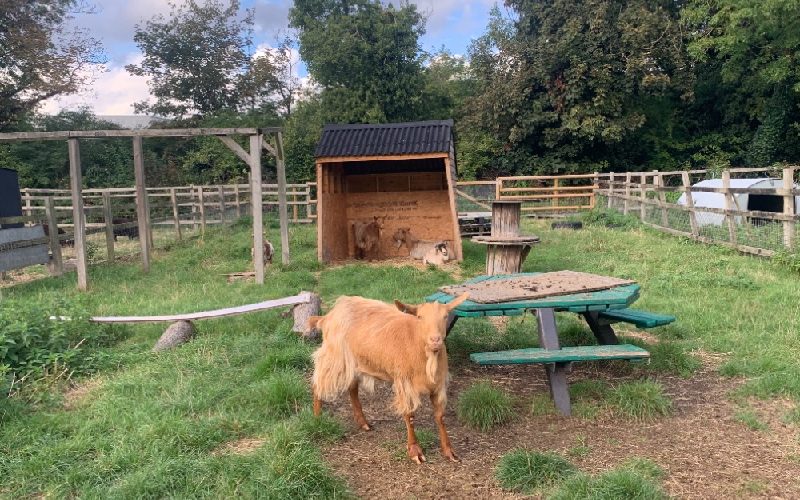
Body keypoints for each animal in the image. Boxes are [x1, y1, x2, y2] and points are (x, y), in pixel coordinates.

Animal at [306, 292, 468, 464]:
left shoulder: (438, 385)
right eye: (420, 317)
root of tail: (329, 315)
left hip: (355, 360)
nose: (435, 339)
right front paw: (414, 451)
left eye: (445, 316)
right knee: (318, 382)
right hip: (334, 356)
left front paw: (449, 451)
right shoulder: (404, 383)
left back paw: (363, 423)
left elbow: (440, 416)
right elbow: (409, 416)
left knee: (352, 388)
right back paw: (317, 418)